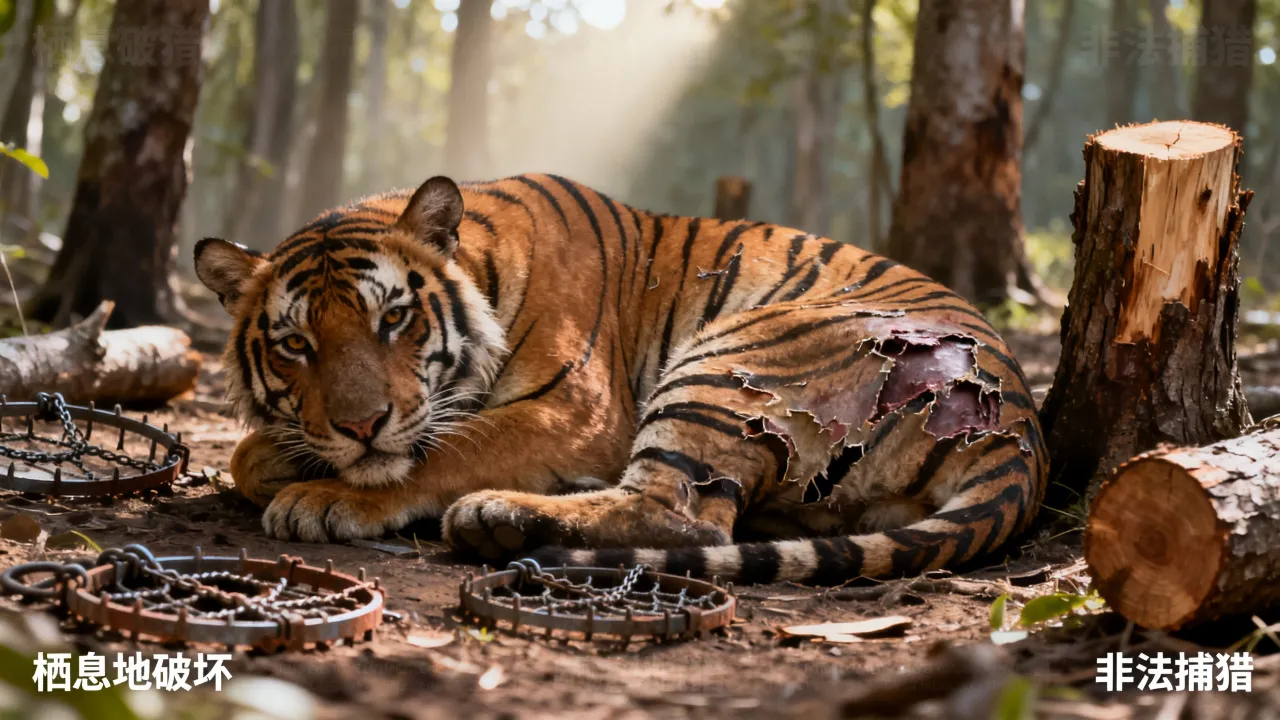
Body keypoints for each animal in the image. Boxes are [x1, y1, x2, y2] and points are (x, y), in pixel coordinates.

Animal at [194, 173, 1047, 585]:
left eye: (393, 319)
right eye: (296, 345)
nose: (360, 425)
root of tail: (1021, 428)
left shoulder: (572, 409)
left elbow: (444, 449)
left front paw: (321, 496)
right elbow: (245, 453)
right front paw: (283, 462)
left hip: (730, 359)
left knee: (684, 515)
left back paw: (497, 517)